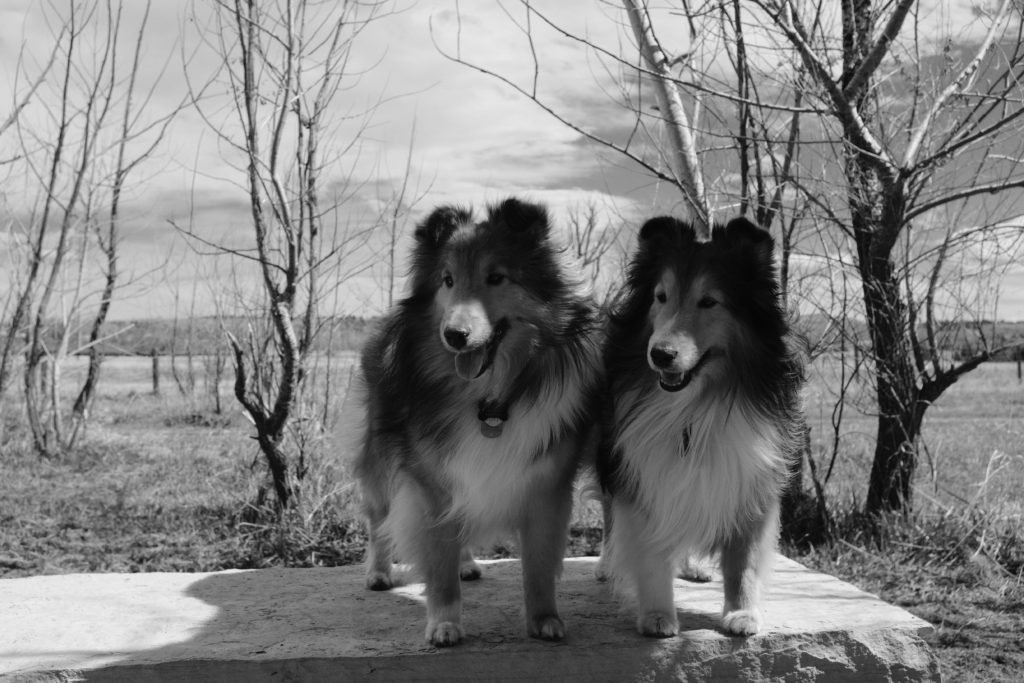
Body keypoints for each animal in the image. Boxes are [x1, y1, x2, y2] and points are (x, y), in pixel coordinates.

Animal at [354, 198, 602, 647]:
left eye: (496, 277)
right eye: (447, 280)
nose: (455, 335)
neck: (490, 399)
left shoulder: (548, 486)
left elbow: (539, 565)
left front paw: (544, 620)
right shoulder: (431, 483)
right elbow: (438, 564)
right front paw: (444, 624)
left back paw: (466, 564)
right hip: (380, 455)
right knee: (379, 517)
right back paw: (379, 573)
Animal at [597, 215, 805, 637]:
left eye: (710, 301)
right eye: (660, 296)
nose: (660, 355)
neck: (693, 406)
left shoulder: (750, 472)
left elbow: (743, 559)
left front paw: (742, 613)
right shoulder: (640, 467)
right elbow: (649, 550)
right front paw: (657, 615)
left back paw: (692, 567)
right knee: (610, 514)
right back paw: (608, 565)